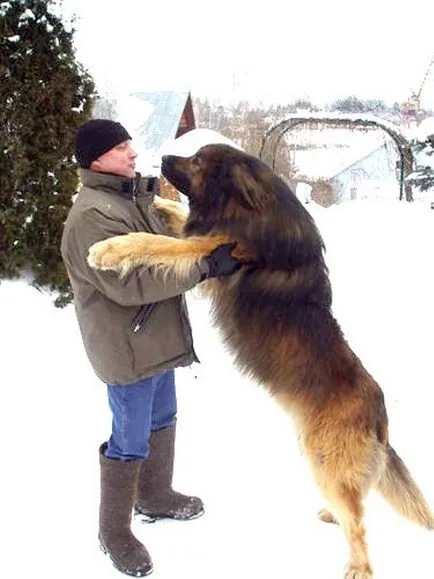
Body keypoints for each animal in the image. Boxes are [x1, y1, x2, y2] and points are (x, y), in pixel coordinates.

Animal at [87, 143, 430, 576]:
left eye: (197, 161)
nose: (162, 159)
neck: (248, 205)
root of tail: (381, 416)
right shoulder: (212, 236)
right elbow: (177, 220)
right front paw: (162, 205)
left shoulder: (216, 247)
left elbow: (157, 242)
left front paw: (108, 250)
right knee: (355, 503)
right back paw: (331, 514)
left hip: (325, 459)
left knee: (359, 524)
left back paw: (357, 565)